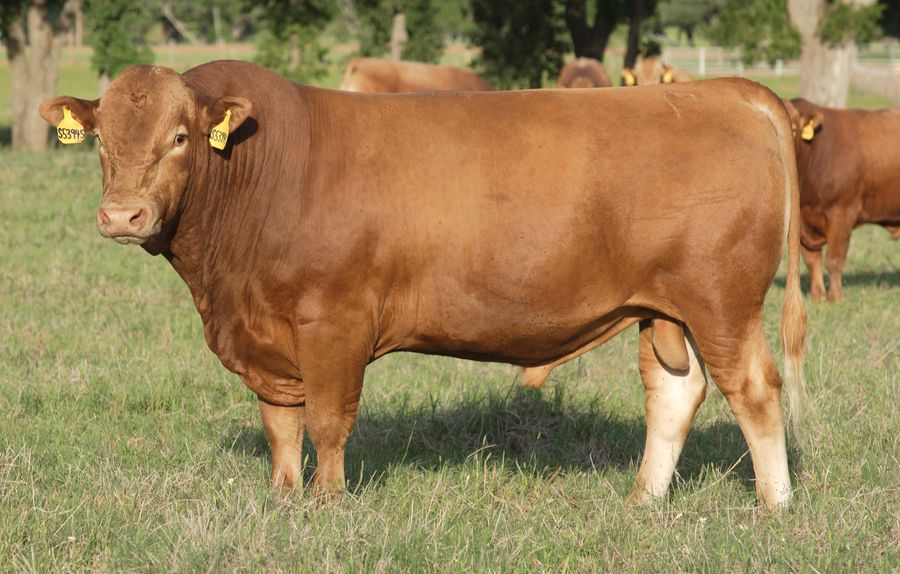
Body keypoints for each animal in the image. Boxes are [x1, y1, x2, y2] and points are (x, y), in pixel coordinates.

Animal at [40, 61, 806, 509]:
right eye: (102, 138)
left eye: (178, 137)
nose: (121, 216)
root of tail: (722, 91)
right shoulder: (264, 331)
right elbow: (280, 421)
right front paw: (284, 496)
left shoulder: (334, 320)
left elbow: (327, 419)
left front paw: (327, 503)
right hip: (664, 308)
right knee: (675, 393)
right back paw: (643, 500)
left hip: (722, 300)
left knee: (756, 391)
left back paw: (774, 505)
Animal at [782, 97, 900, 302]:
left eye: (794, 128)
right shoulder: (801, 222)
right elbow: (812, 260)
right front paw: (817, 296)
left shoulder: (843, 212)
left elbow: (834, 259)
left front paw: (835, 297)